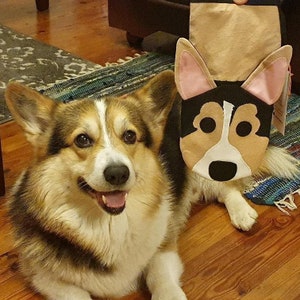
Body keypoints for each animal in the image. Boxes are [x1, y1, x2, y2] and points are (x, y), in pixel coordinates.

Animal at [5, 69, 298, 298]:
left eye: (130, 136)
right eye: (82, 140)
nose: (118, 174)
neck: (108, 225)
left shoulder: (163, 250)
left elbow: (161, 281)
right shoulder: (46, 279)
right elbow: (76, 294)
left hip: (203, 160)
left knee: (225, 187)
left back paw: (242, 213)